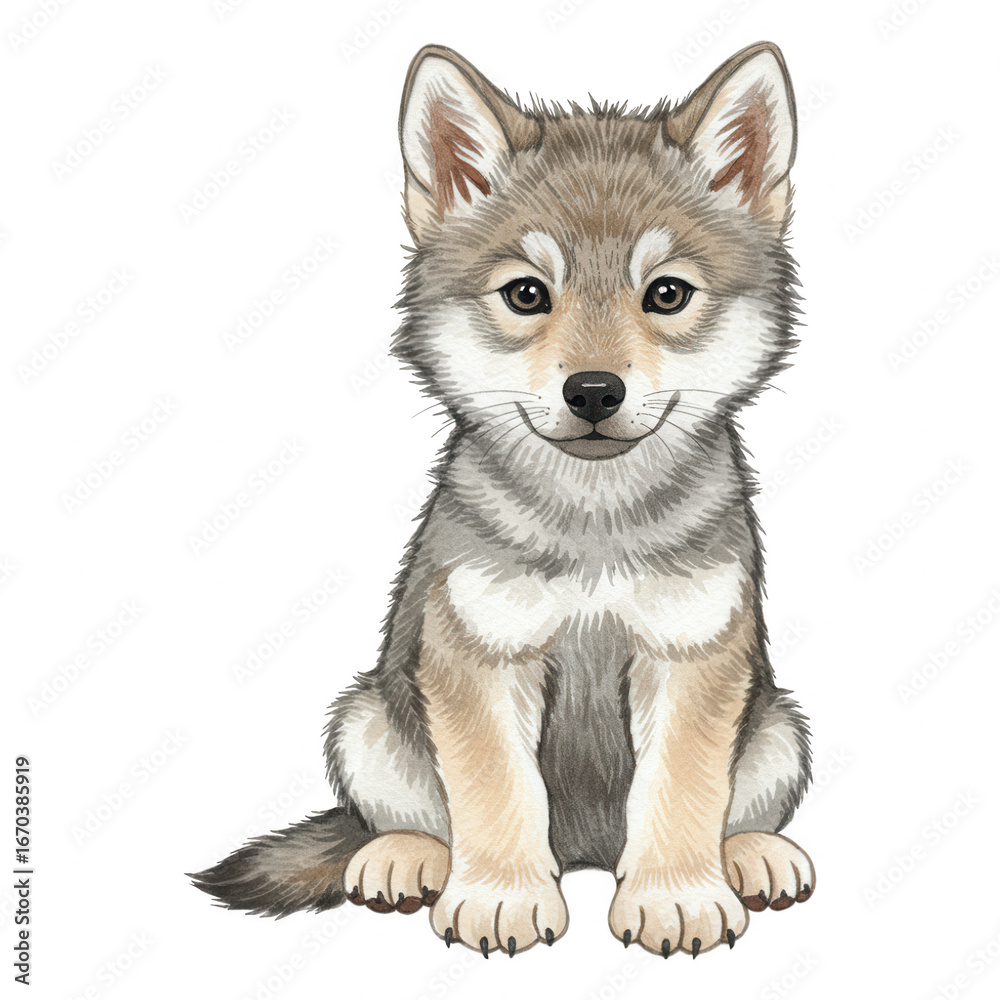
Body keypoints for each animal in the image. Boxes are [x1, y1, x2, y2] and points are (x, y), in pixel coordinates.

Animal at [192, 40, 814, 960]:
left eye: (666, 294)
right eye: (527, 294)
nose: (594, 391)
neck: (595, 522)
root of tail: (589, 855)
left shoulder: (691, 655)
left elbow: (681, 791)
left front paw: (674, 897)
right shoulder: (478, 657)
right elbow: (495, 790)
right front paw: (501, 898)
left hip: (778, 729)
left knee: (737, 809)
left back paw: (753, 855)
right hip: (365, 718)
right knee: (414, 817)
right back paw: (404, 859)